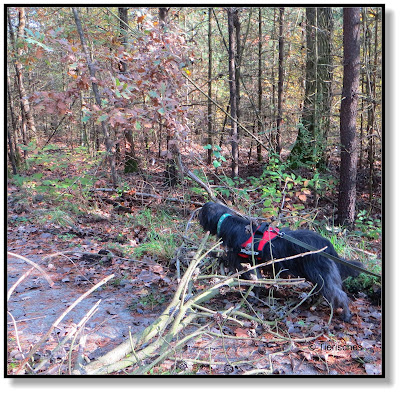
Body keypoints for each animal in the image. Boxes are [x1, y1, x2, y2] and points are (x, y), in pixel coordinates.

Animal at [198, 202, 364, 322]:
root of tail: (327, 245)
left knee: (339, 294)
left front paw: (252, 297)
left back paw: (346, 315)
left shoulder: (245, 262)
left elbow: (253, 280)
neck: (228, 222)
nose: (197, 213)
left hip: (321, 273)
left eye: (201, 212)